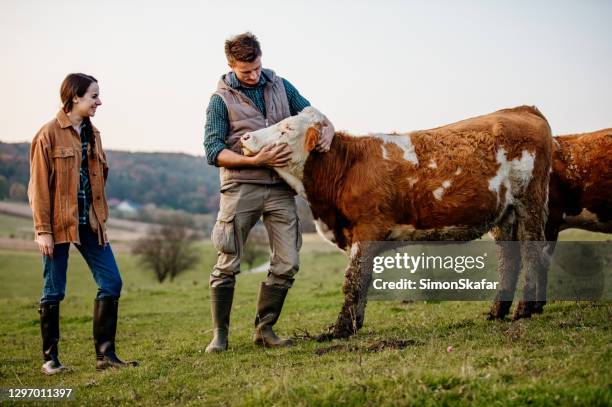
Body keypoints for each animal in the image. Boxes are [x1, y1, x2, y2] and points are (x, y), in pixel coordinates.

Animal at [241, 107, 552, 340]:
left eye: (286, 129)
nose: (245, 137)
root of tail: (521, 109)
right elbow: (363, 280)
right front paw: (354, 324)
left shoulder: (367, 229)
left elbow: (354, 280)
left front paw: (340, 330)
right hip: (504, 215)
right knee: (509, 260)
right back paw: (497, 311)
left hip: (529, 205)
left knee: (532, 255)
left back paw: (525, 310)